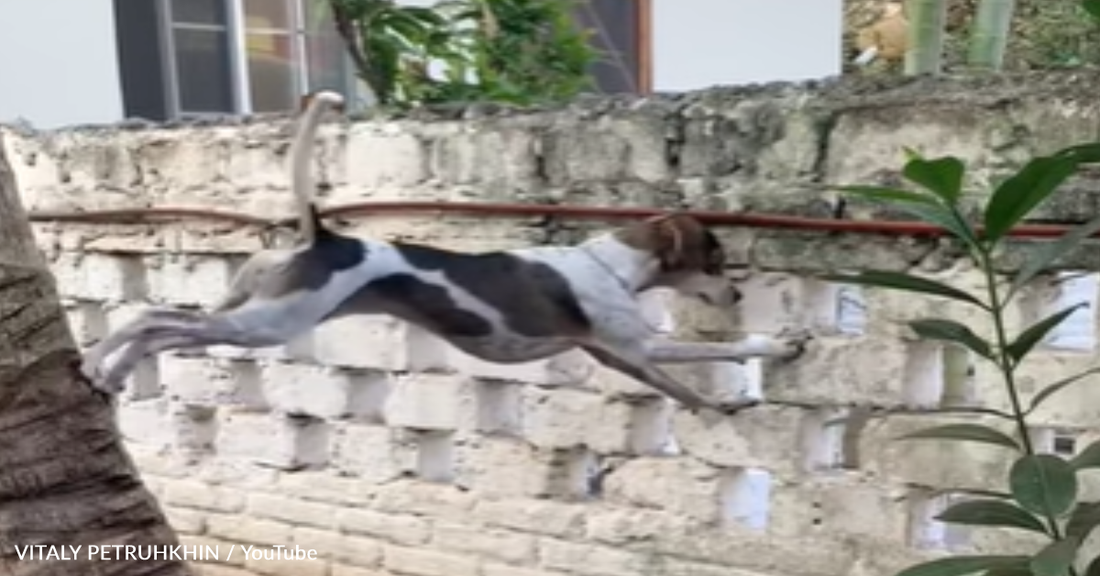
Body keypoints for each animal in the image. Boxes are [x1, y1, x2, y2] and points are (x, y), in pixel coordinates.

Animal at [79, 90, 809, 413]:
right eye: (715, 261)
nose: (736, 293)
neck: (611, 266)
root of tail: (323, 234)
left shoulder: (626, 360)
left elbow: (686, 393)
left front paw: (724, 407)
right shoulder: (643, 347)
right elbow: (721, 352)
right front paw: (777, 347)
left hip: (248, 307)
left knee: (158, 321)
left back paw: (104, 371)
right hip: (267, 323)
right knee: (159, 323)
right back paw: (105, 366)